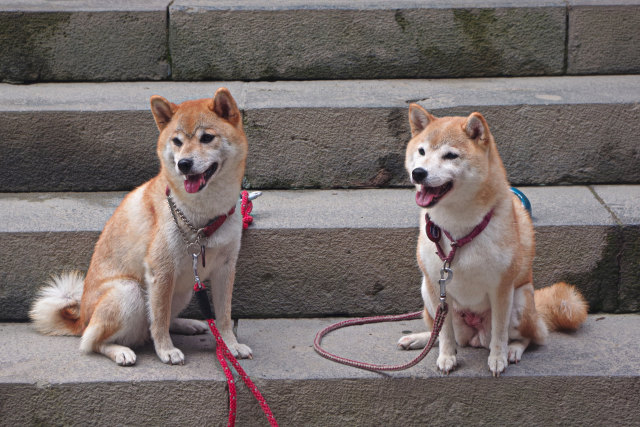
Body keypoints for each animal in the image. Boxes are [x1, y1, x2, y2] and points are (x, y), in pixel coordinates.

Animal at [29, 88, 252, 366]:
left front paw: (231, 346)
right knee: (94, 341)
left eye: (207, 138)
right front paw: (166, 350)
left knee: (158, 321)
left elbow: (222, 317)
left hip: (184, 290)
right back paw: (121, 351)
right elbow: (159, 319)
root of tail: (81, 319)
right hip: (130, 292)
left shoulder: (225, 267)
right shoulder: (162, 270)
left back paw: (186, 324)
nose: (184, 164)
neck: (203, 217)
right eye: (177, 141)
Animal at [398, 105, 588, 376]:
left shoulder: (501, 289)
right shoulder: (436, 284)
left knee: (530, 337)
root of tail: (476, 336)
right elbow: (444, 333)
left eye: (450, 156)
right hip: (428, 295)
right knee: (445, 332)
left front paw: (497, 358)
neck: (458, 229)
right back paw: (421, 339)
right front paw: (446, 357)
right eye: (421, 151)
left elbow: (500, 332)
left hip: (521, 301)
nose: (418, 173)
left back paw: (513, 350)